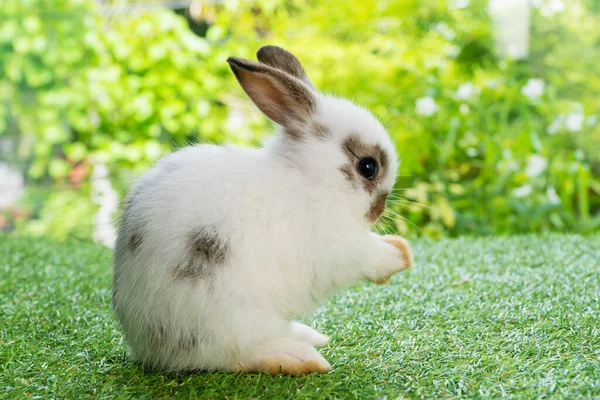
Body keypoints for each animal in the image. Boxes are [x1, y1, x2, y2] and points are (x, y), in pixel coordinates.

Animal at [112, 44, 412, 376]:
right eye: (368, 167)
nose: (378, 210)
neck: (312, 179)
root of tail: (147, 347)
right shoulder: (341, 246)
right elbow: (368, 255)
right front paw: (400, 253)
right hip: (232, 325)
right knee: (235, 357)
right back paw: (298, 358)